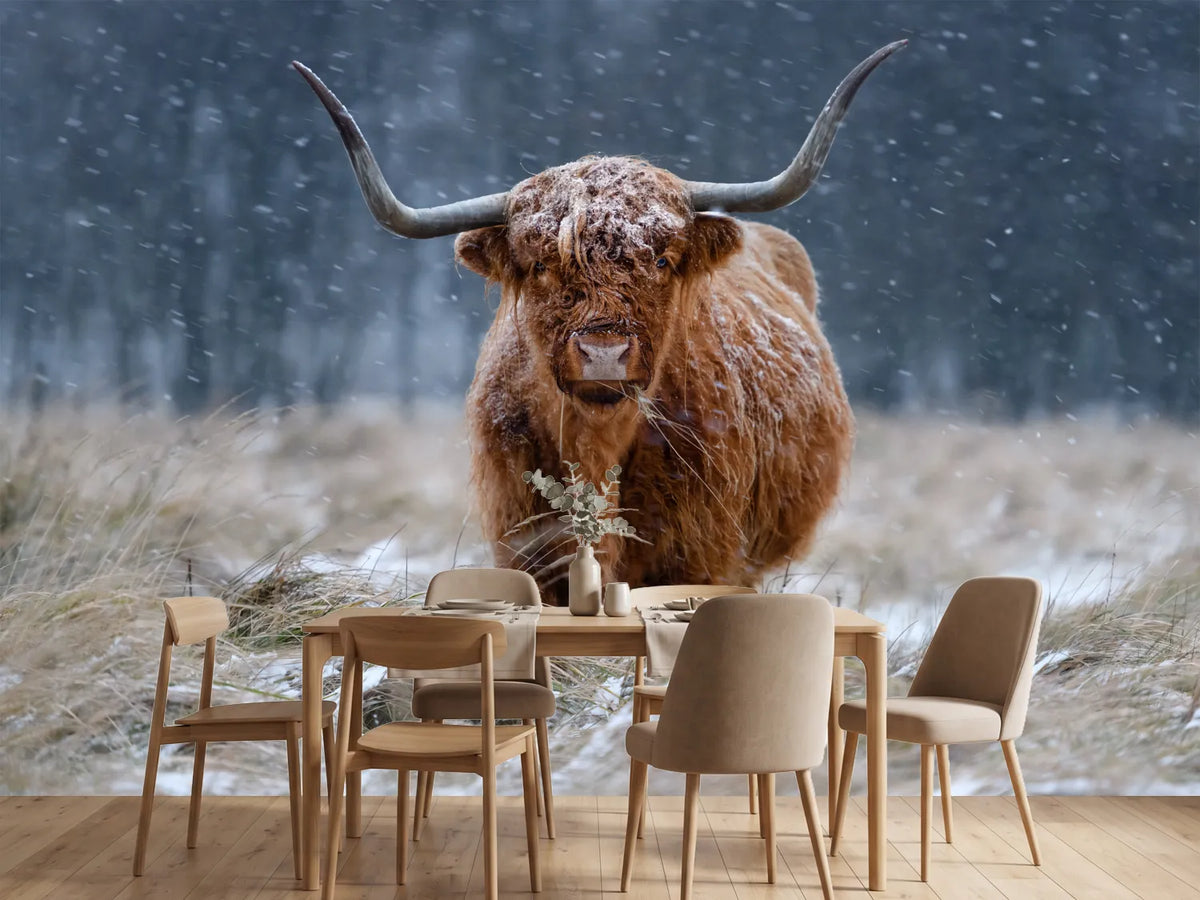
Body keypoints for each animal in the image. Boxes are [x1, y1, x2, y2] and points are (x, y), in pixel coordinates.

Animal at [294, 41, 904, 599]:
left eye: (661, 260)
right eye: (541, 264)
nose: (604, 354)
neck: (594, 448)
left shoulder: (700, 555)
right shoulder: (528, 543)